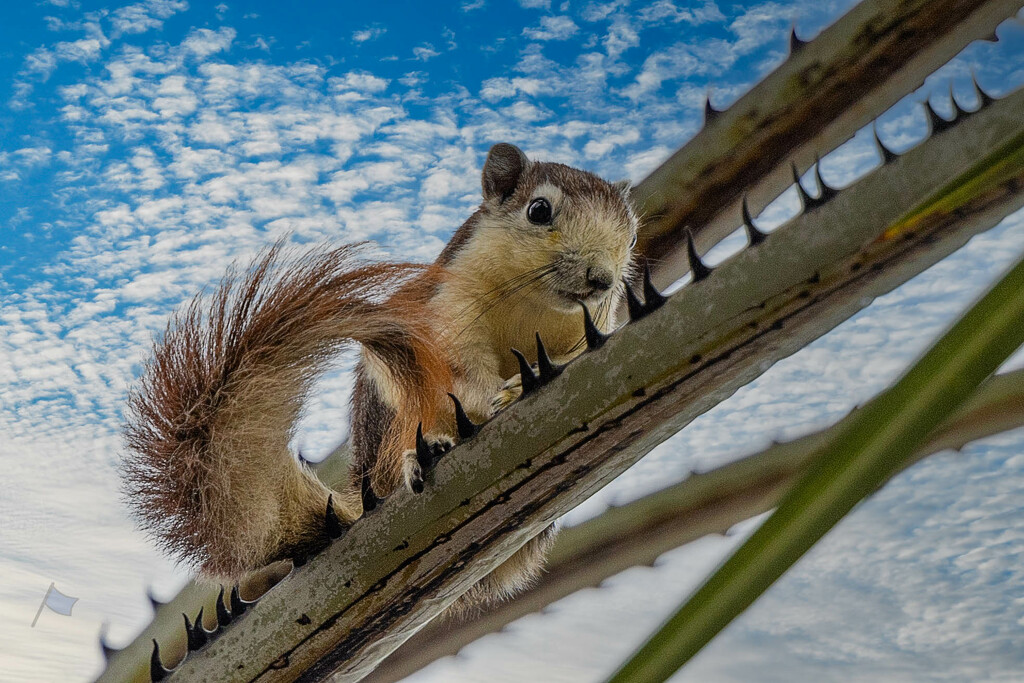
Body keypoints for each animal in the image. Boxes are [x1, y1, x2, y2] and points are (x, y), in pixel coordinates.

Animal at [121, 143, 638, 610]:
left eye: (632, 236)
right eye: (539, 210)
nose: (601, 278)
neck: (533, 307)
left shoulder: (591, 326)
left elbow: (574, 353)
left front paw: (521, 385)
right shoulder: (441, 311)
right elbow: (458, 371)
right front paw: (489, 395)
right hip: (392, 427)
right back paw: (422, 453)